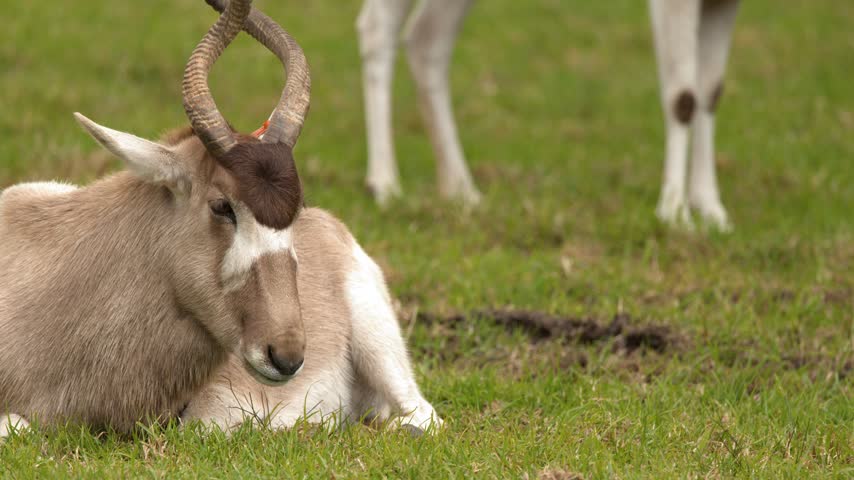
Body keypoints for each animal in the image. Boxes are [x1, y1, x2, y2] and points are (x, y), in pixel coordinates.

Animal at [356, 0, 739, 230]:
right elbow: (683, 97)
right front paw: (674, 213)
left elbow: (711, 91)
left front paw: (711, 209)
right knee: (376, 26)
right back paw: (385, 184)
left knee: (427, 39)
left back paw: (461, 189)